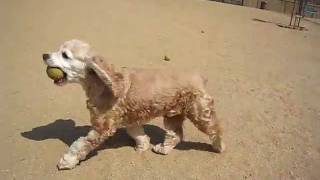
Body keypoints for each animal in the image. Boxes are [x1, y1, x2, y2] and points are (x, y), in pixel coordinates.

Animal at [42, 39, 225, 170]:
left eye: (65, 55)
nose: (44, 55)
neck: (101, 83)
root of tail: (200, 77)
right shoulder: (130, 118)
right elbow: (137, 133)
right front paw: (143, 146)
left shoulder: (102, 127)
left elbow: (80, 145)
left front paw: (67, 161)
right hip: (173, 114)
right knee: (176, 135)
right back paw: (163, 149)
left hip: (200, 112)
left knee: (215, 129)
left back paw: (219, 146)